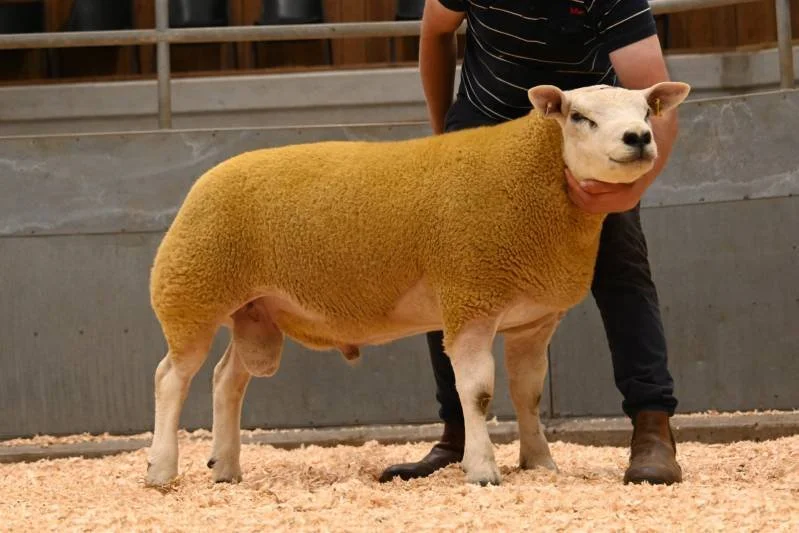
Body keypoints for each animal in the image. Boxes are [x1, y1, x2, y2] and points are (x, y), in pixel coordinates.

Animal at [145, 80, 691, 488]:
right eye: (579, 117)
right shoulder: (472, 296)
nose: (639, 138)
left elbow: (528, 393)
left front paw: (539, 462)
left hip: (255, 311)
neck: (533, 178)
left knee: (226, 380)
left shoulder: (532, 320)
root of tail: (205, 181)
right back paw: (161, 470)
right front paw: (483, 470)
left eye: (646, 110)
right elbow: (478, 392)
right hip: (191, 292)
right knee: (172, 377)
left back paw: (226, 468)